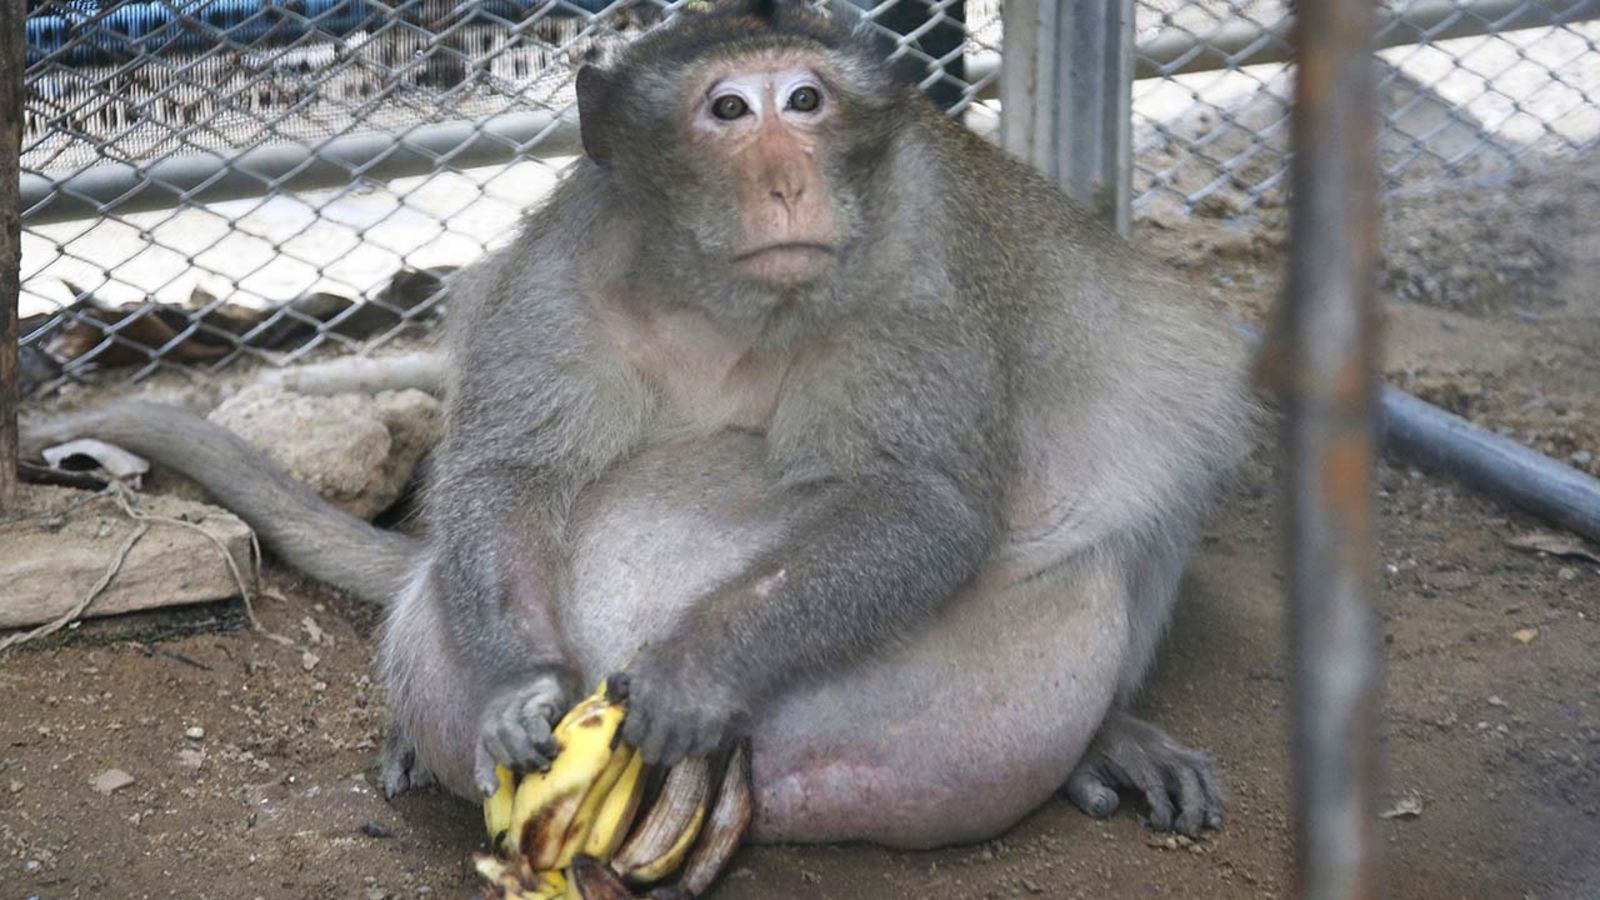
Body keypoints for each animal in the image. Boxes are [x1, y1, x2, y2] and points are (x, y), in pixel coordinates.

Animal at [22, 0, 1255, 846]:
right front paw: (519, 691)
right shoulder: (558, 280)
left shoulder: (914, 277)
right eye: (730, 110)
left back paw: (1107, 733)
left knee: (1166, 402)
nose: (788, 183)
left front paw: (693, 669)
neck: (724, 298)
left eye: (806, 101)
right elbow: (508, 476)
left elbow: (923, 502)